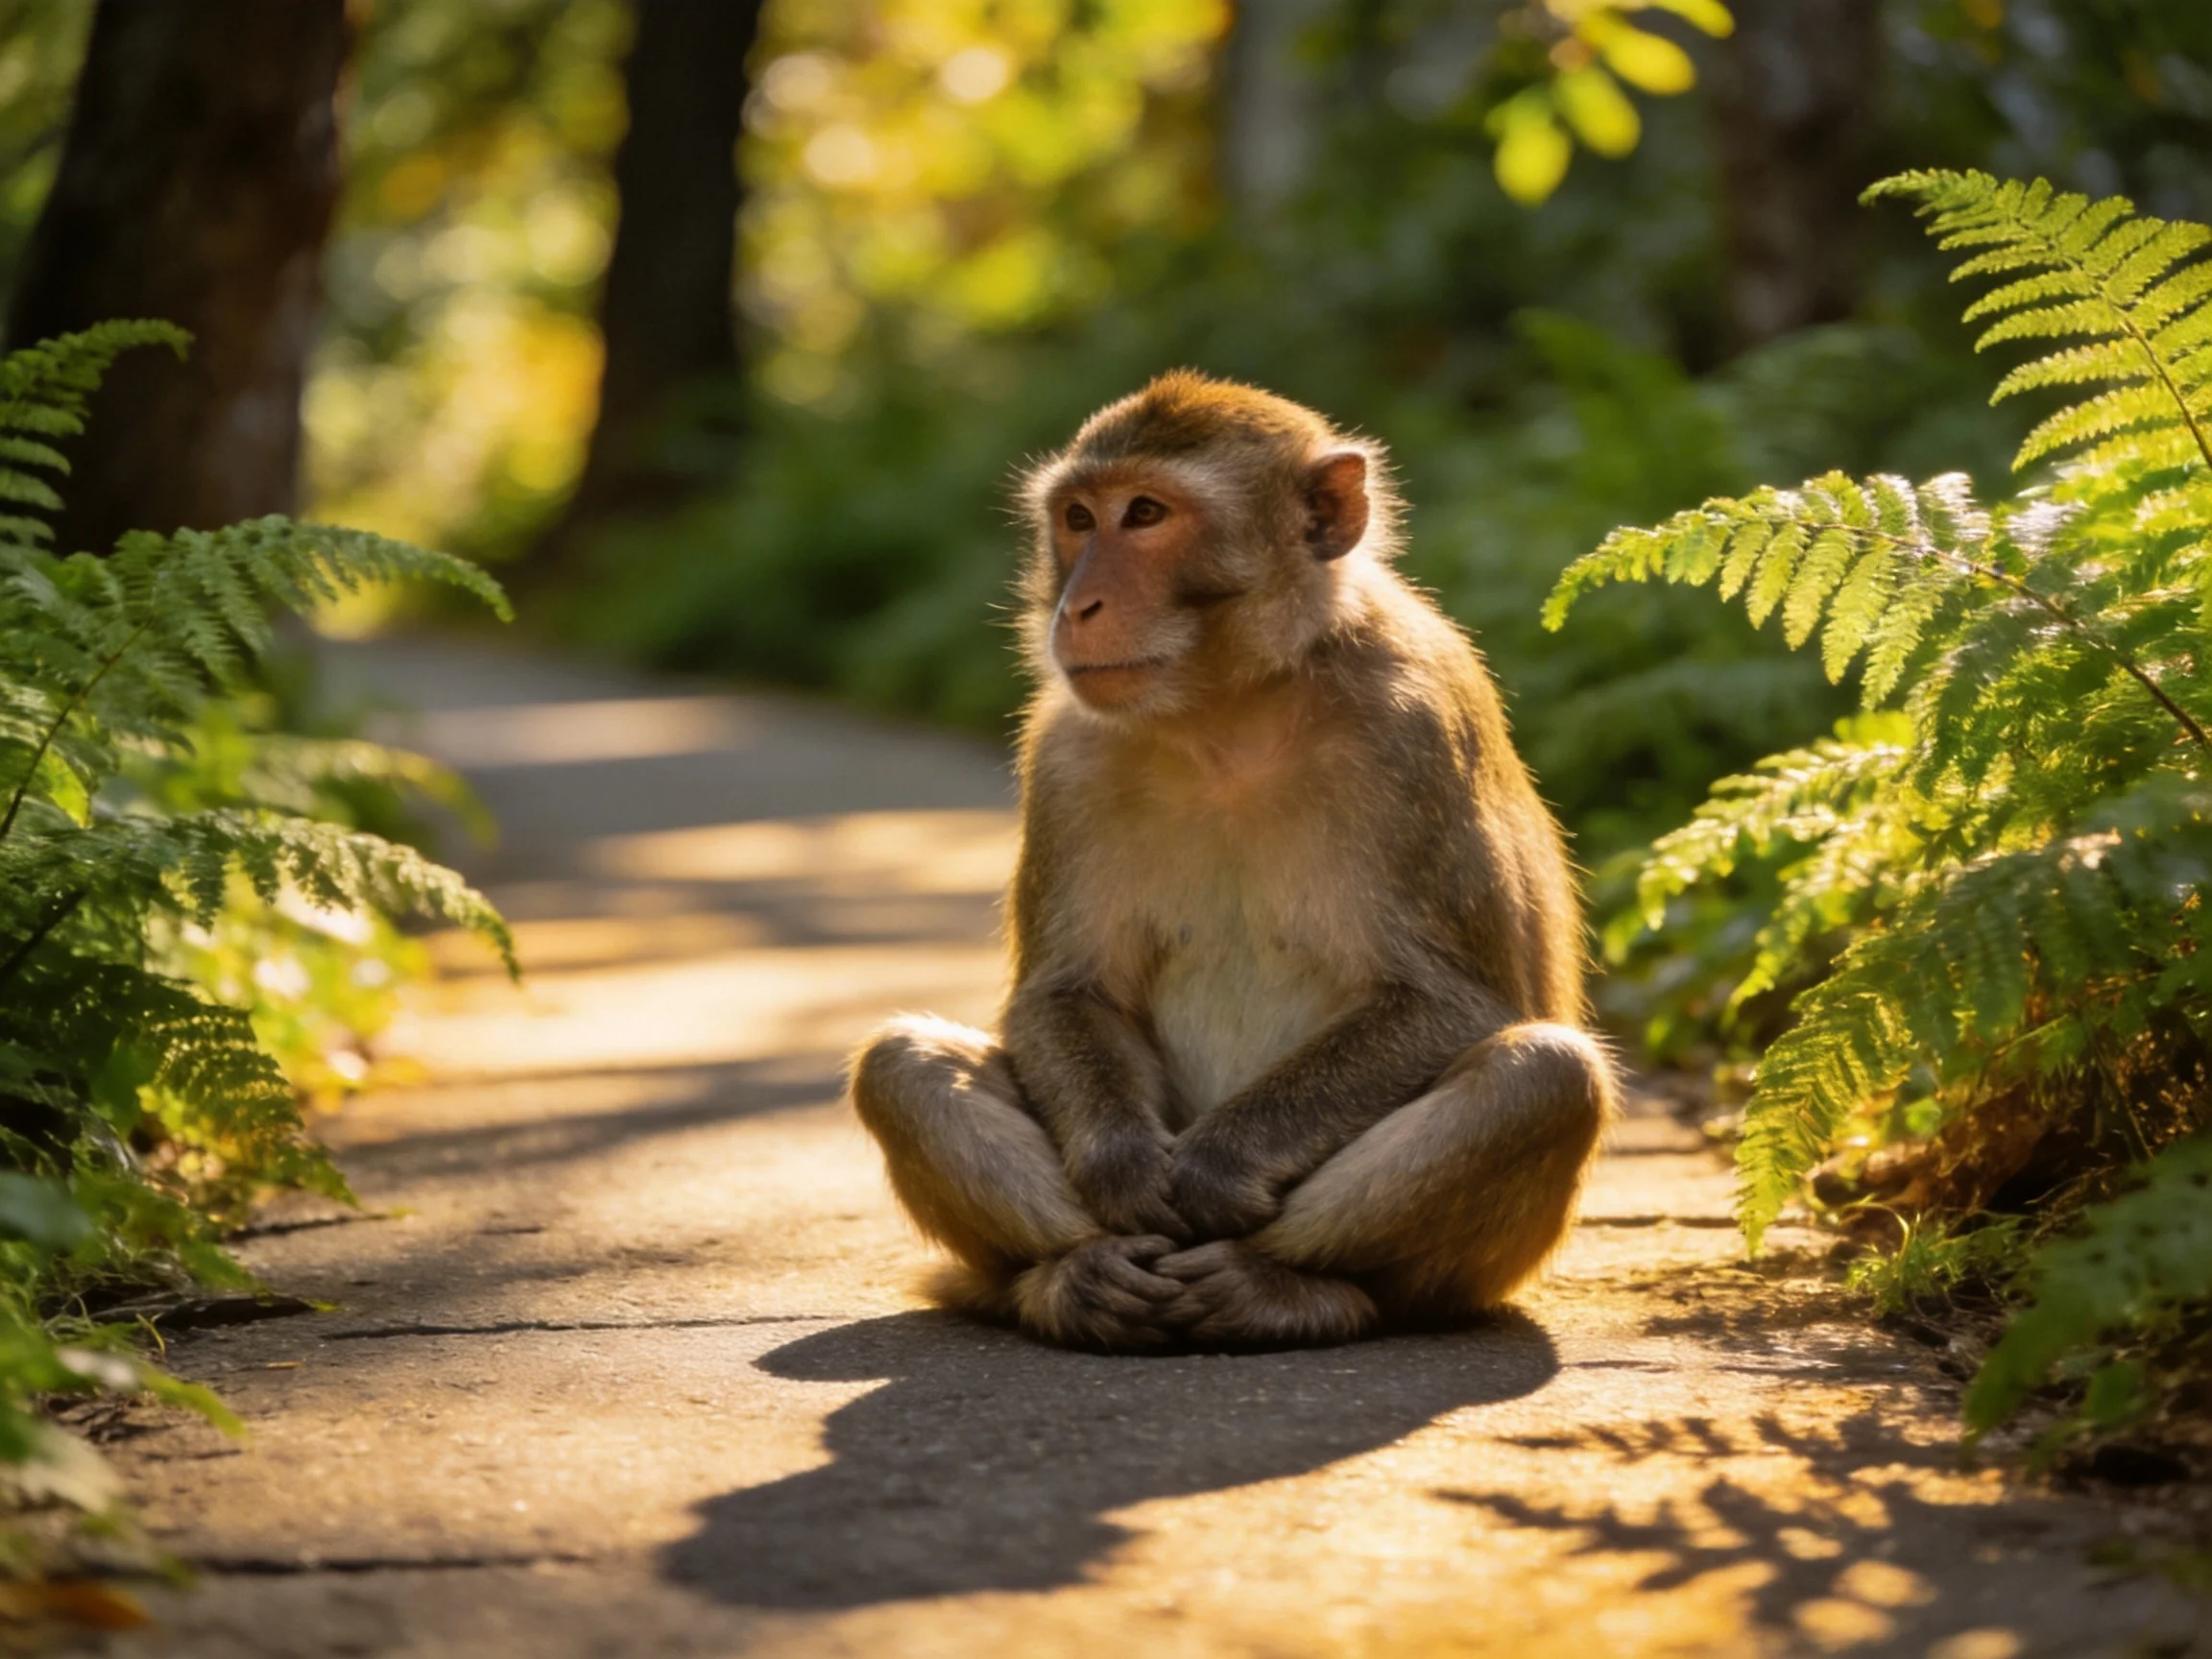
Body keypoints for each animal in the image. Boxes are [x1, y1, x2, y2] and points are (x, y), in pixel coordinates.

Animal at [848, 369, 1616, 1353]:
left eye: (1145, 514)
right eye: (1078, 518)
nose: (1078, 606)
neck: (1229, 715)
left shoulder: (1412, 730)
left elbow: (1458, 1001)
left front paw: (1215, 1168)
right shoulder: (1066, 754)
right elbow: (1066, 991)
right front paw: (1126, 1170)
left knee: (1544, 1078)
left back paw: (1284, 1288)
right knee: (899, 1063)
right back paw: (1068, 1278)